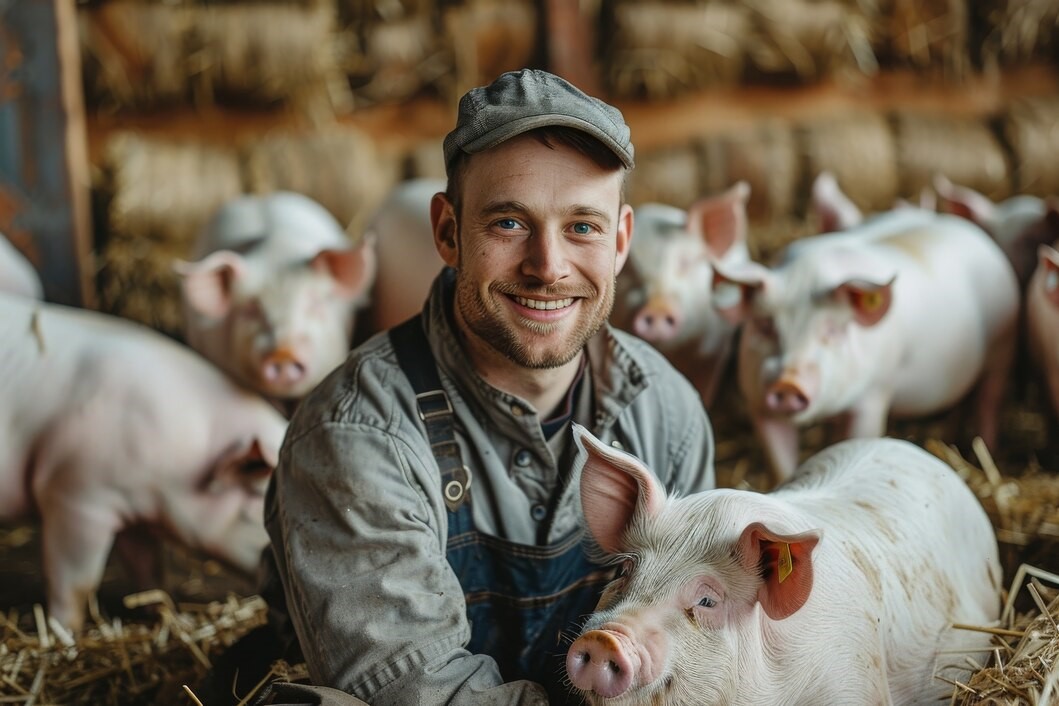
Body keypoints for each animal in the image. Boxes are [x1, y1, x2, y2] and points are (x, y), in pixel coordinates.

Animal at [0, 290, 290, 630]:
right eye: (258, 504)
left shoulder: (132, 511)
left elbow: (148, 570)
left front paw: (169, 615)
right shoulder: (74, 497)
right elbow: (76, 583)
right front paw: (66, 632)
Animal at [711, 204, 1016, 480]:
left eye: (832, 330)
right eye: (765, 325)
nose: (787, 382)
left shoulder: (874, 393)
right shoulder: (757, 403)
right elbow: (780, 464)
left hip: (1002, 347)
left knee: (990, 399)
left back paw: (987, 450)